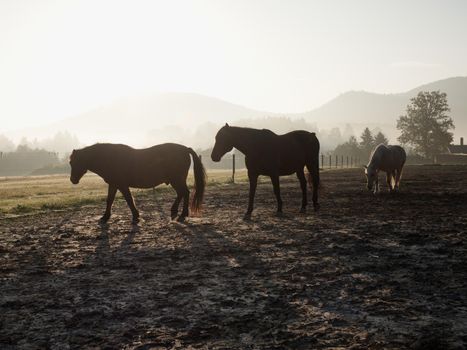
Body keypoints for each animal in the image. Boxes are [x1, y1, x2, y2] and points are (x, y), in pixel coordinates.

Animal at [70, 143, 207, 223]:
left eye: (74, 162)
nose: (73, 180)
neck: (110, 157)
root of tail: (185, 149)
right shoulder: (114, 184)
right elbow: (110, 200)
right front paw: (105, 216)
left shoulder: (122, 185)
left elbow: (129, 199)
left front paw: (136, 215)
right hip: (176, 180)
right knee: (181, 193)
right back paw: (174, 211)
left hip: (176, 179)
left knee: (185, 193)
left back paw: (183, 213)